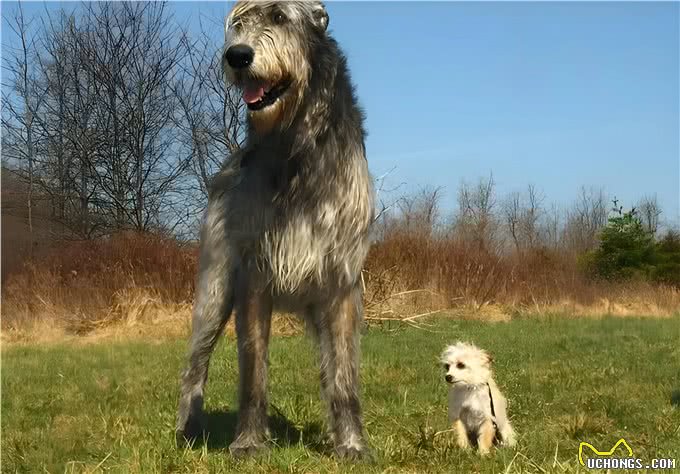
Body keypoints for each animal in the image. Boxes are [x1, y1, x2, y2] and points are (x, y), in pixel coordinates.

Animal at [175, 0, 374, 460]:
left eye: (281, 17)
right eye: (239, 24)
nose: (237, 56)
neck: (295, 147)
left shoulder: (341, 282)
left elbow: (343, 376)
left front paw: (352, 443)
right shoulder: (253, 277)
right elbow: (253, 371)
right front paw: (248, 442)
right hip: (213, 289)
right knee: (195, 364)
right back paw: (188, 429)